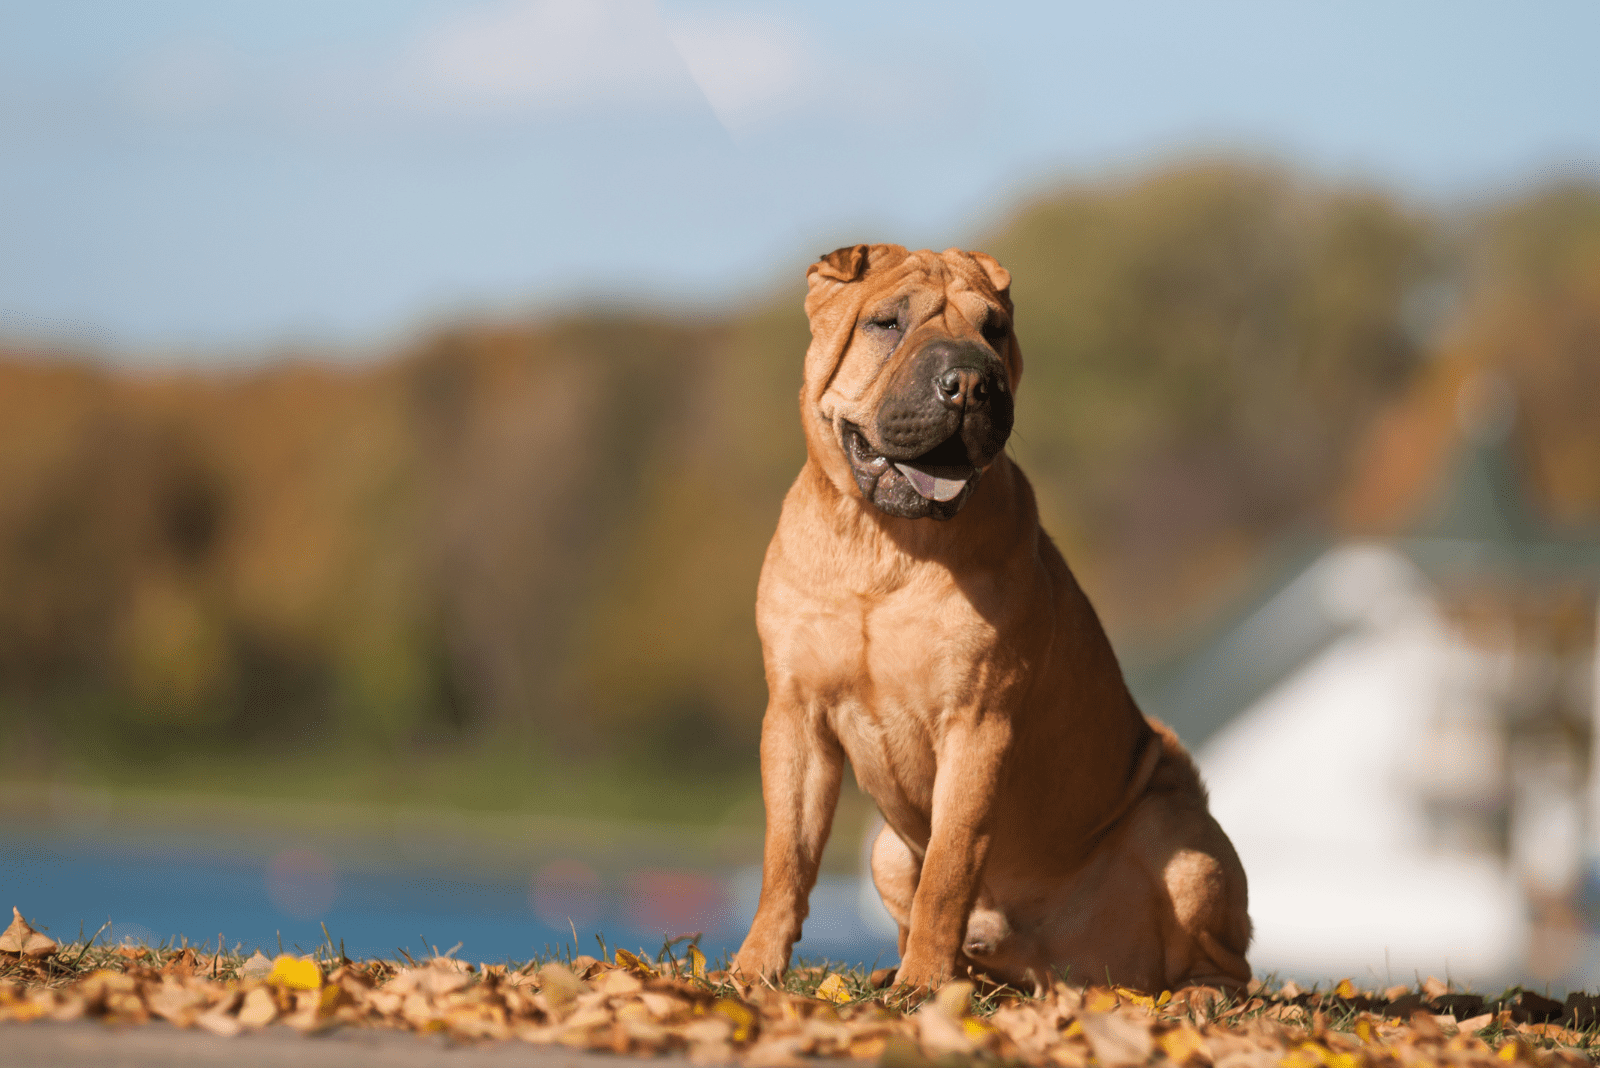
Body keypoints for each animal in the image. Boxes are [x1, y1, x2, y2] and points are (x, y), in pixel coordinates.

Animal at [732, 241, 1248, 991]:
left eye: (994, 329)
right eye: (887, 322)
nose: (971, 383)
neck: (884, 543)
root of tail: (1056, 970)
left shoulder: (977, 722)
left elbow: (950, 865)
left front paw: (923, 984)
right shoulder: (796, 713)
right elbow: (786, 857)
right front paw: (754, 967)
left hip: (1183, 843)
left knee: (1226, 961)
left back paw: (1192, 997)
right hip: (886, 852)